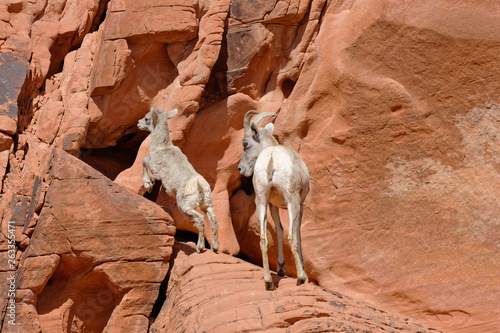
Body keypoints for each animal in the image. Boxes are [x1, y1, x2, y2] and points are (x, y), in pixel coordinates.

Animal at [140, 108, 220, 252]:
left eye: (147, 118)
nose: (138, 123)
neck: (162, 147)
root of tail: (198, 185)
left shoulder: (156, 169)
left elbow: (144, 161)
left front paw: (148, 185)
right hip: (207, 204)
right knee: (214, 220)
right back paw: (215, 247)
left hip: (185, 207)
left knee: (200, 219)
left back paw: (199, 247)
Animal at [237, 110, 308, 290]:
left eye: (245, 144)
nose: (240, 169)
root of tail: (272, 157)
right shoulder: (300, 204)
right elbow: (297, 234)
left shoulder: (272, 204)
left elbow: (278, 229)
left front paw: (281, 268)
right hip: (291, 201)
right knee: (291, 236)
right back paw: (301, 278)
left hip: (261, 201)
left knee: (263, 239)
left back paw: (268, 281)